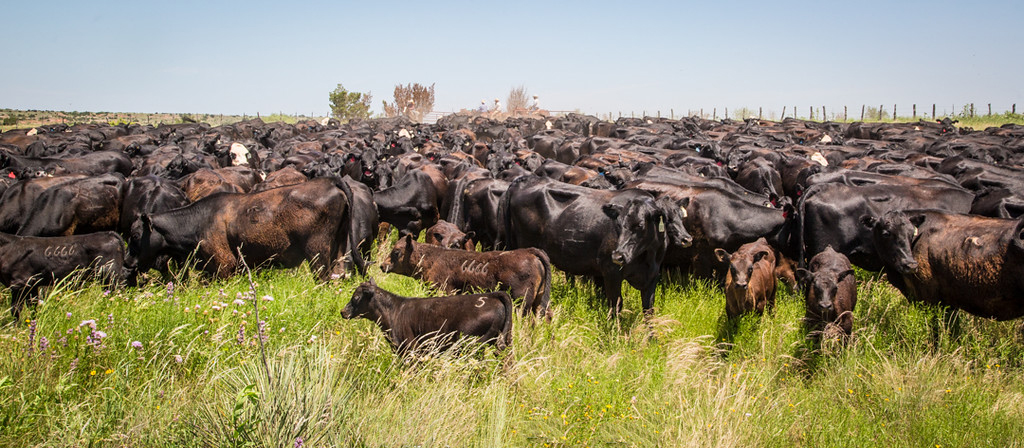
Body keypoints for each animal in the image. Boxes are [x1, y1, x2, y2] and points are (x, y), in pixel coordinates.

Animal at [126, 177, 359, 283]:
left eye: (135, 235)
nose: (128, 262)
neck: (199, 221)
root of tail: (330, 182)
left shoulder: (224, 266)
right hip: (337, 251)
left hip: (317, 255)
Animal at [341, 279, 513, 354]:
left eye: (356, 297)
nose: (343, 311)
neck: (393, 312)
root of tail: (491, 296)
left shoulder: (411, 351)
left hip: (471, 344)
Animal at [382, 235, 551, 317]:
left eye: (396, 252)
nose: (382, 265)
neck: (432, 258)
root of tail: (530, 251)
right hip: (538, 301)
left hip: (521, 303)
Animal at [499, 176, 691, 315]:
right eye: (618, 224)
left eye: (640, 225)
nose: (687, 238)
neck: (647, 256)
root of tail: (525, 179)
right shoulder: (611, 272)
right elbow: (615, 306)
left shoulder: (652, 276)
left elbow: (649, 310)